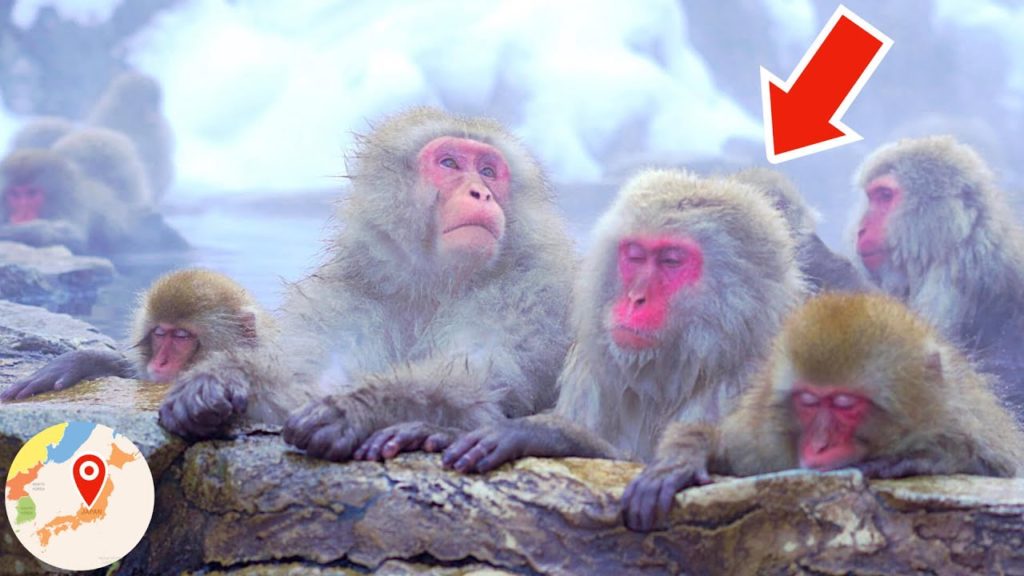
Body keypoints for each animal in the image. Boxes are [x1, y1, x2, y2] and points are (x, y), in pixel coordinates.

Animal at [621, 292, 1024, 532]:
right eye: (809, 401)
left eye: (845, 404)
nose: (818, 445)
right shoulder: (760, 442)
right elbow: (721, 440)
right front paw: (679, 461)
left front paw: (921, 457)